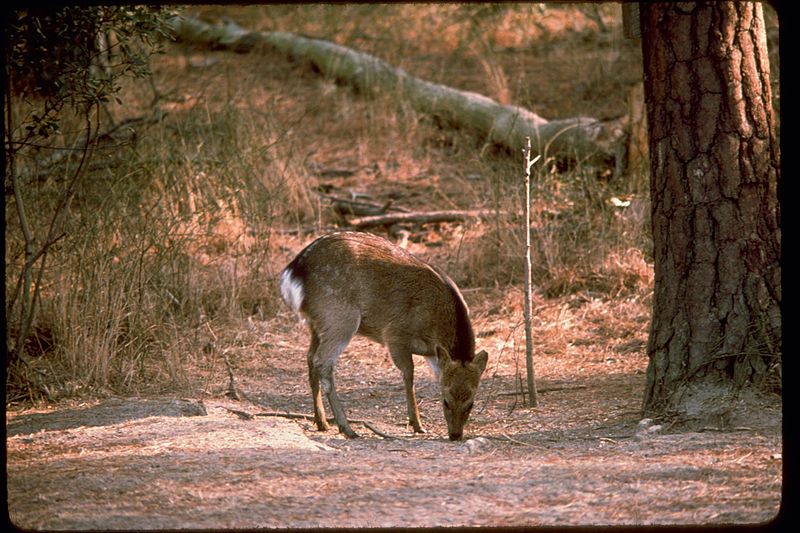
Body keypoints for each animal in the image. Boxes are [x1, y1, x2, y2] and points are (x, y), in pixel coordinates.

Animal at [284, 231, 490, 438]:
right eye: (446, 401)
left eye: (471, 404)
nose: (455, 435)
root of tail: (294, 270)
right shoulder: (395, 334)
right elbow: (409, 374)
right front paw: (417, 424)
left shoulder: (433, 353)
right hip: (340, 318)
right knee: (323, 362)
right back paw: (347, 428)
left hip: (317, 323)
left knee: (310, 358)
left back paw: (322, 421)